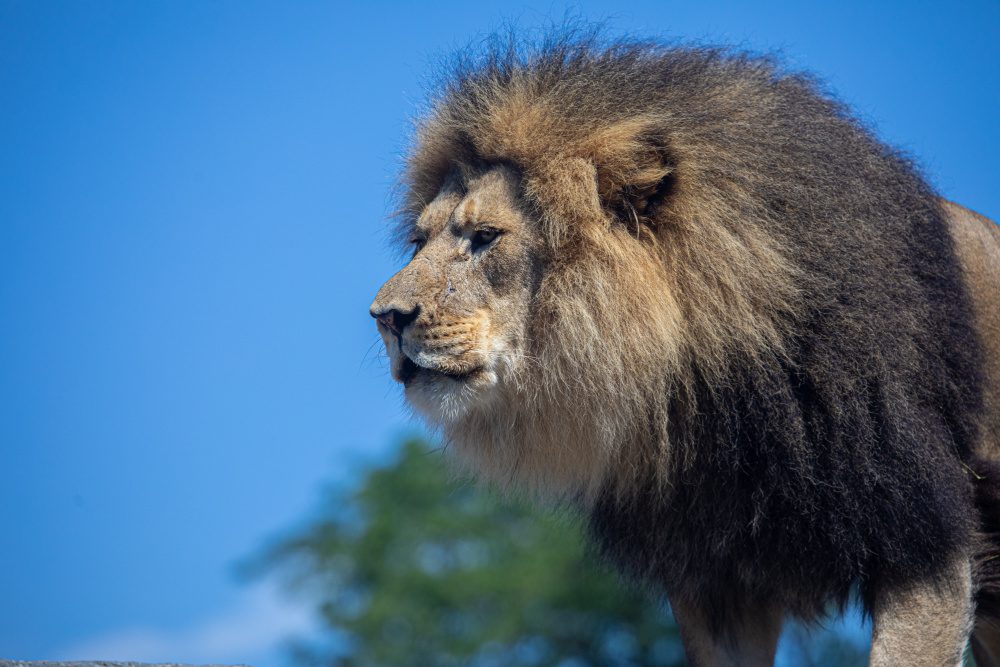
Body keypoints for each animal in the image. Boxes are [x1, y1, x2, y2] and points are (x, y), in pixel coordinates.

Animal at [370, 34, 1000, 666]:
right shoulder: (714, 580)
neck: (714, 389)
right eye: (419, 242)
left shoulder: (925, 540)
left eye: (485, 238)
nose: (385, 317)